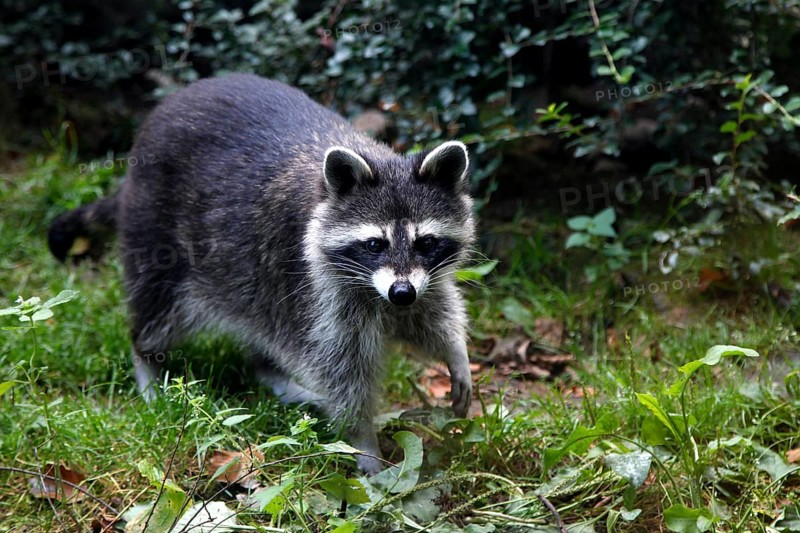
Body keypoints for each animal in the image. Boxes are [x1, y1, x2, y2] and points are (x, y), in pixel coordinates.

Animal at [48, 74, 476, 473]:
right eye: (375, 244)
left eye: (425, 242)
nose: (401, 294)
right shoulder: (319, 289)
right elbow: (340, 369)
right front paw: (364, 442)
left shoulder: (421, 280)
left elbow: (433, 314)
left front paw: (455, 352)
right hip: (156, 231)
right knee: (161, 307)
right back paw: (147, 359)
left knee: (265, 322)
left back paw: (271, 374)